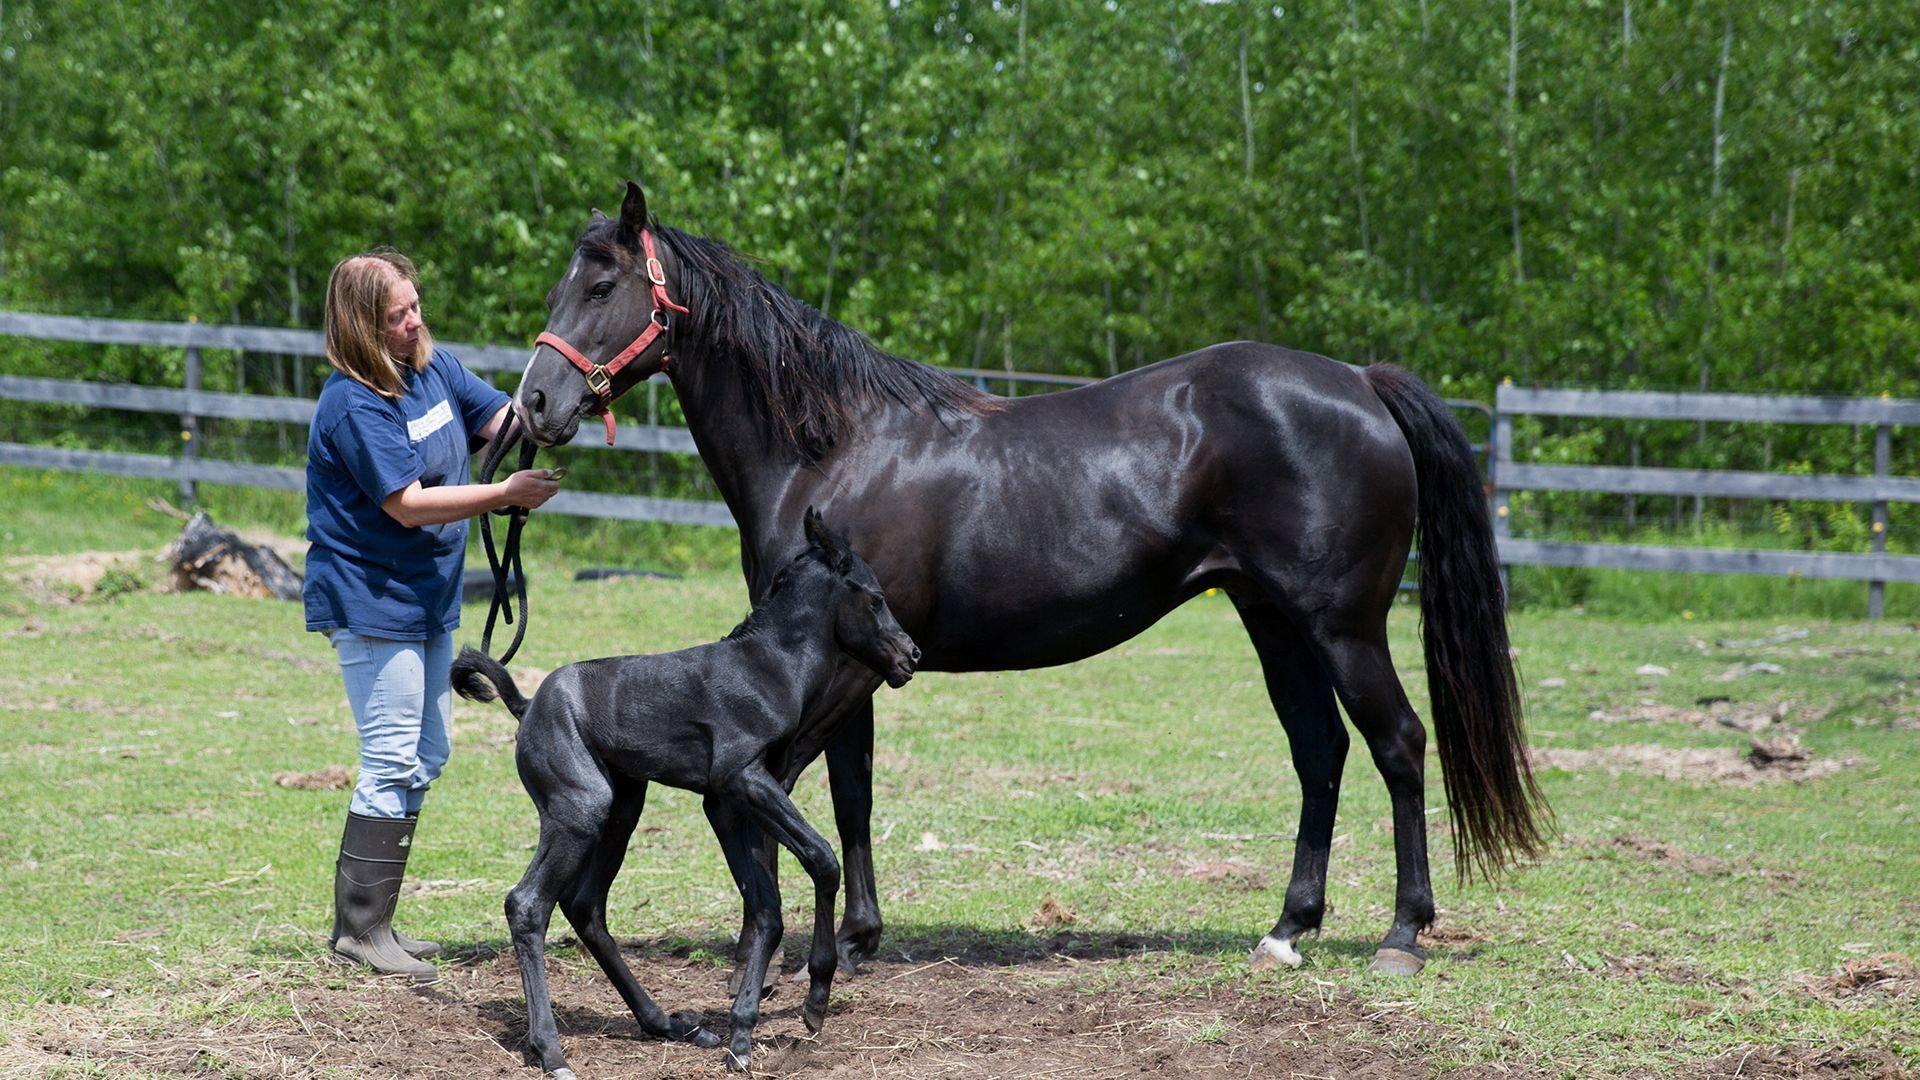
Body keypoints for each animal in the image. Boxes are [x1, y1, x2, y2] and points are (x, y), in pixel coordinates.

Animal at [509, 180, 1546, 980]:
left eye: (601, 283)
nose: (535, 405)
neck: (832, 445)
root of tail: (1361, 383)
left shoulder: (837, 667)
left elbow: (809, 788)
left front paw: (798, 943)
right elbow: (851, 794)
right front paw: (858, 937)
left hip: (1342, 626)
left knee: (1398, 746)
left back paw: (1402, 935)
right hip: (1271, 619)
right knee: (1319, 753)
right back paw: (1288, 930)